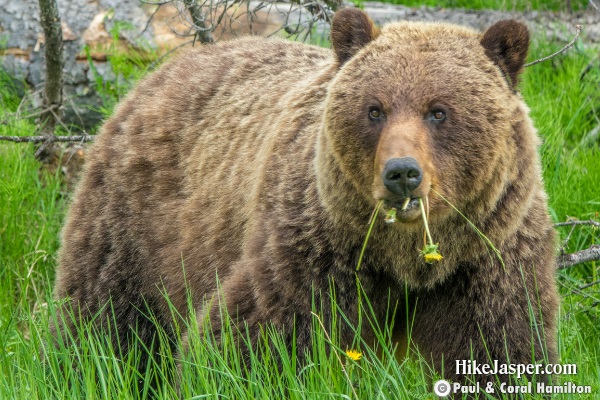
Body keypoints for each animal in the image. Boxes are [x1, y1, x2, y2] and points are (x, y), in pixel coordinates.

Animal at [54, 7, 560, 390]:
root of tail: (161, 71)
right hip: (135, 220)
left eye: (439, 111)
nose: (401, 174)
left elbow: (499, 348)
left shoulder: (487, 258)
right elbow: (251, 336)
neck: (406, 260)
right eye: (374, 109)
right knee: (106, 317)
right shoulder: (316, 248)